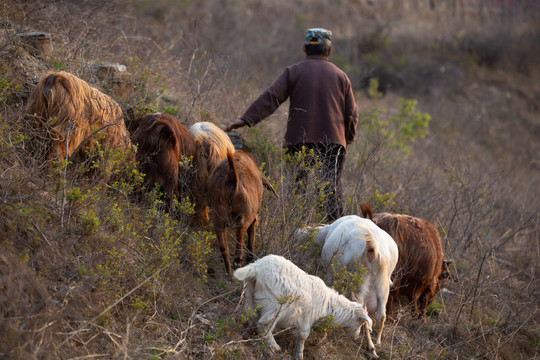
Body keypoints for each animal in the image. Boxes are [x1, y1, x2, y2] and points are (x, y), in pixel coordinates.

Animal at [234, 255, 374, 358]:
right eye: (361, 323)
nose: (356, 336)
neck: (329, 304)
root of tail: (256, 267)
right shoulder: (306, 319)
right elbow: (302, 337)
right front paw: (299, 354)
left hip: (250, 296)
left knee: (251, 316)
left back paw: (250, 333)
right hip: (275, 305)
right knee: (264, 325)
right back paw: (274, 347)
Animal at [304, 215, 400, 356]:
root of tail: (373, 249)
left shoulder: (331, 274)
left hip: (359, 280)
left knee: (363, 312)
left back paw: (371, 348)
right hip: (383, 282)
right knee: (381, 316)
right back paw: (377, 343)